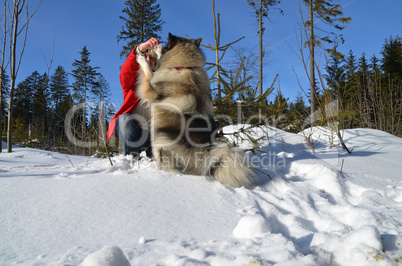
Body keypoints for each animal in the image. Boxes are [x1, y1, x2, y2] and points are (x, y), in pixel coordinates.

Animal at [135, 33, 254, 188]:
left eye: (164, 46)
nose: (155, 43)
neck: (185, 66)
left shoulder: (151, 91)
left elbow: (148, 72)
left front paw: (140, 58)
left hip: (162, 140)